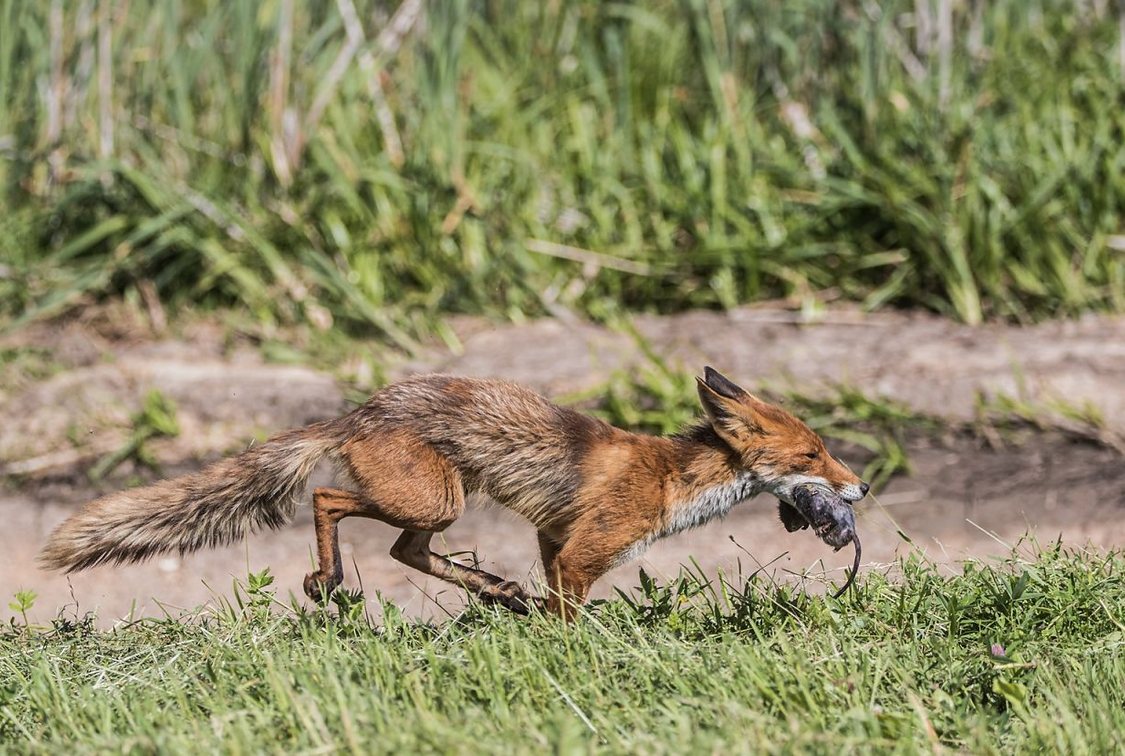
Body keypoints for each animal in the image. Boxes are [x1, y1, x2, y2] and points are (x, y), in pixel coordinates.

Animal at [39, 366, 864, 621]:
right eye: (812, 455)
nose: (858, 487)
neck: (672, 478)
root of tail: (363, 408)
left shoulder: (553, 536)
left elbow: (550, 592)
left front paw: (529, 621)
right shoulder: (585, 550)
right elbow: (570, 617)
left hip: (440, 505)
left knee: (409, 552)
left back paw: (492, 589)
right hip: (437, 501)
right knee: (328, 501)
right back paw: (326, 579)